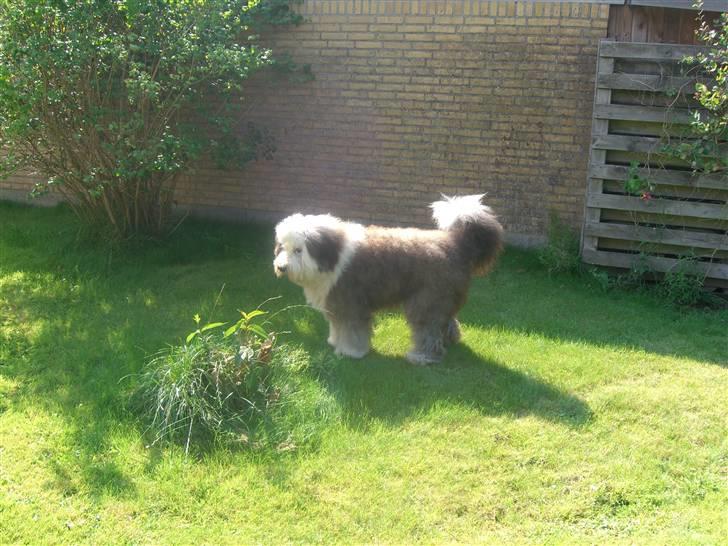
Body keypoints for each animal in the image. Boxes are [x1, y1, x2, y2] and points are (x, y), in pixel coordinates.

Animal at [270, 193, 504, 364]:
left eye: (299, 250)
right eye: (282, 247)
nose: (281, 267)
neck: (333, 256)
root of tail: (457, 243)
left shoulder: (351, 304)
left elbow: (352, 330)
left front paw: (351, 352)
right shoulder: (336, 305)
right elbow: (337, 327)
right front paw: (334, 341)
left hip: (426, 300)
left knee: (428, 329)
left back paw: (422, 356)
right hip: (443, 299)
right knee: (447, 320)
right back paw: (451, 340)